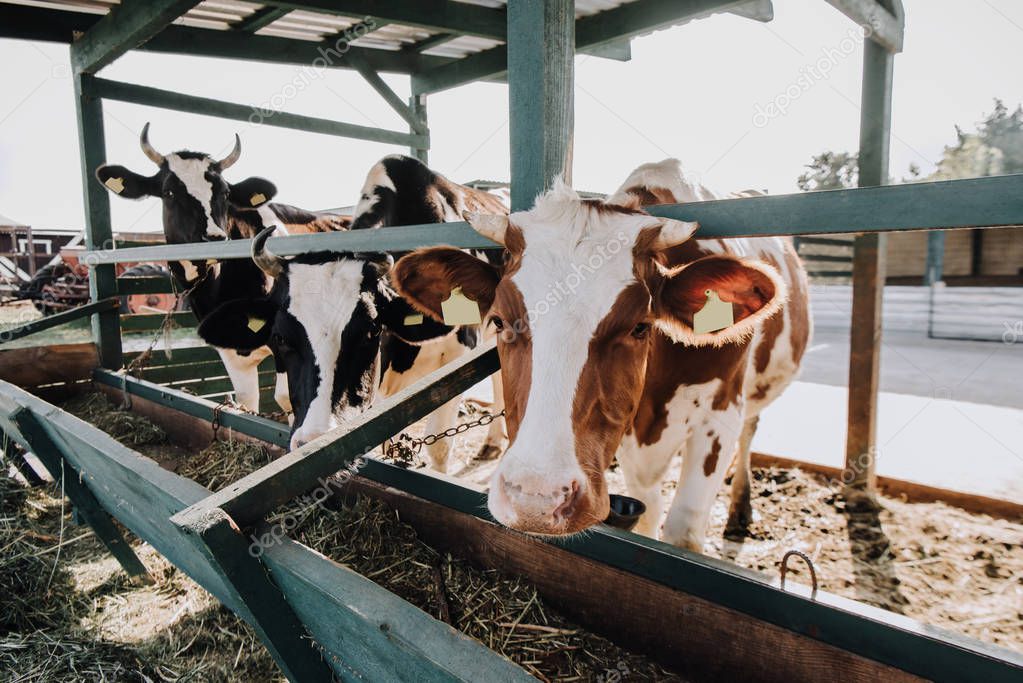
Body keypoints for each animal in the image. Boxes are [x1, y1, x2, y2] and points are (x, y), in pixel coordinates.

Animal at [96, 123, 351, 413]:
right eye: (169, 192)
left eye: (225, 193)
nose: (215, 237)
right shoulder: (229, 350)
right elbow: (246, 404)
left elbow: (287, 397)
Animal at [388, 158, 806, 548]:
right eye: (501, 322)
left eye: (640, 326)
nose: (535, 500)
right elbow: (649, 511)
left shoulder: (719, 414)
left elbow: (682, 530)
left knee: (751, 429)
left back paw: (740, 511)